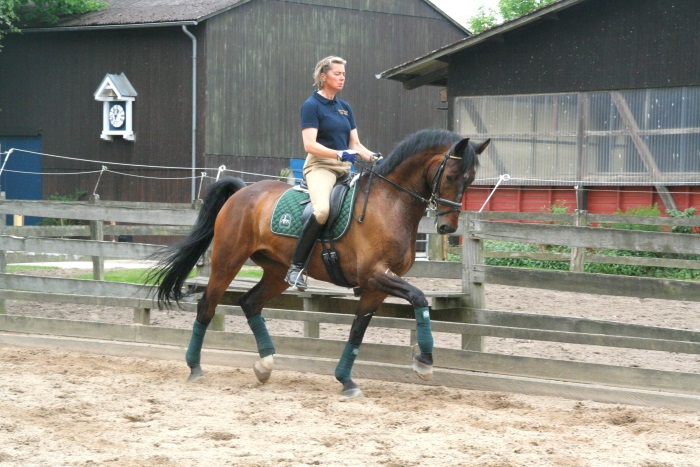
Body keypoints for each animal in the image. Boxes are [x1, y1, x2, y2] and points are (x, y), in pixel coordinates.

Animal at [149, 129, 486, 398]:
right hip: (227, 261)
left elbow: (358, 331)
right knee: (207, 306)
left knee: (250, 302)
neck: (390, 202)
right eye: (451, 176)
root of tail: (243, 192)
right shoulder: (375, 275)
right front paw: (424, 362)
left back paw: (265, 364)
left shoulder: (375, 286)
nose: (447, 227)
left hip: (277, 272)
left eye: (470, 181)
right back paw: (195, 367)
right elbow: (418, 297)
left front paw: (346, 380)